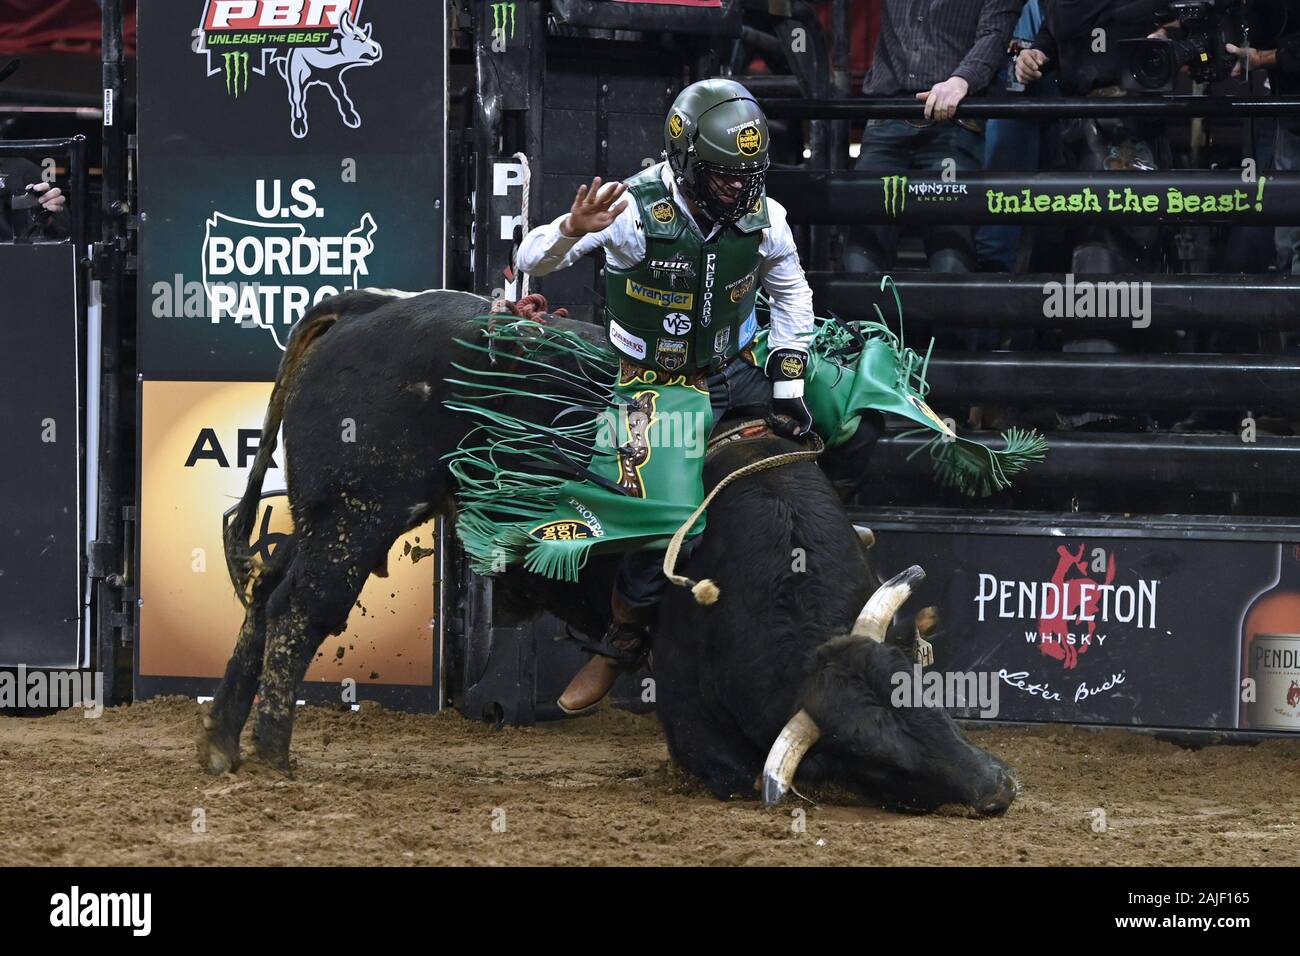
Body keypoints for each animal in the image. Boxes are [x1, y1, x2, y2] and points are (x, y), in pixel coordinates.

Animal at [202, 291, 1013, 816]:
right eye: (872, 757)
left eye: (929, 702)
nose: (996, 790)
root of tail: (365, 311)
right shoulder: (689, 702)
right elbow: (730, 770)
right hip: (359, 514)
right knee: (300, 610)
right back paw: (272, 754)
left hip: (324, 519)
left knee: (267, 592)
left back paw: (221, 746)